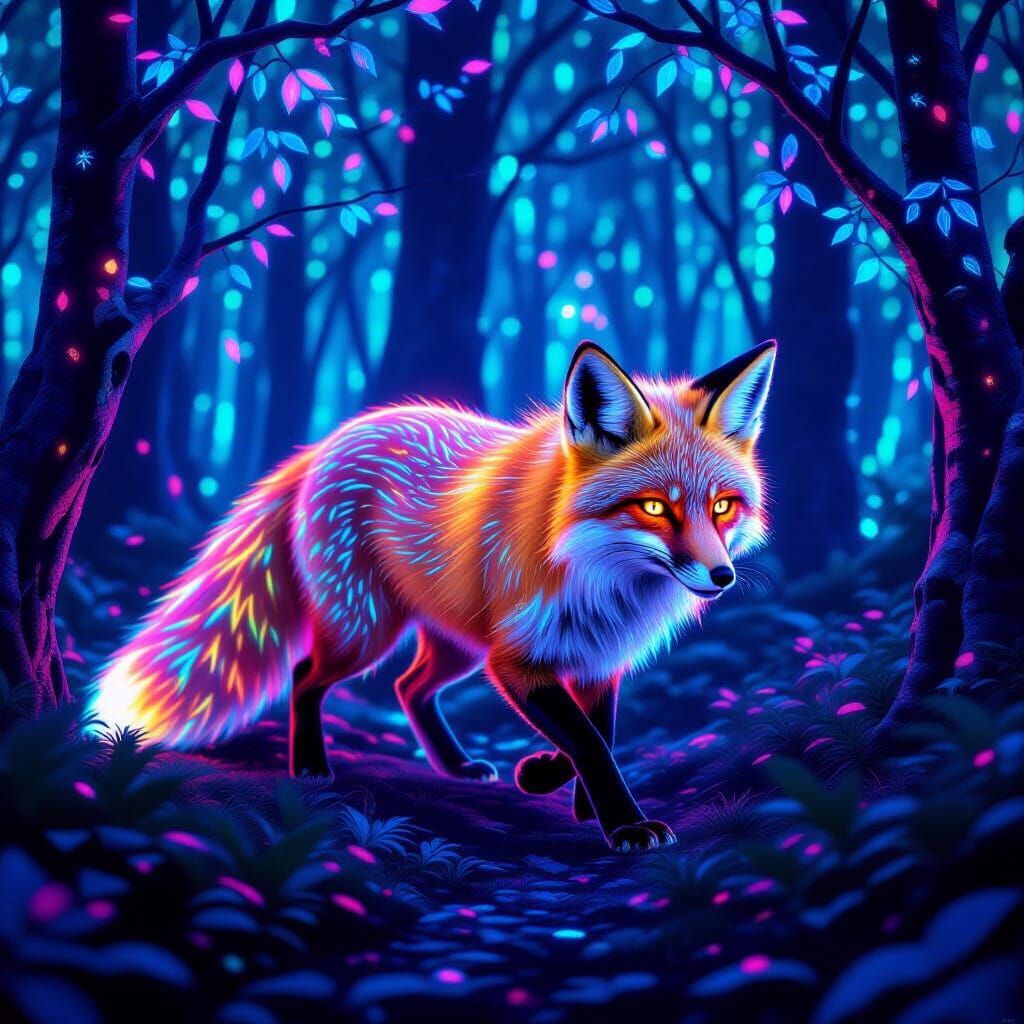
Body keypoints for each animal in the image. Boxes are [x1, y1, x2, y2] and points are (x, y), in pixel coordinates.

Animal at [92, 339, 775, 852]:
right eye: (655, 508)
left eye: (723, 506)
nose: (722, 577)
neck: (605, 582)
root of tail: (329, 442)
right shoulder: (515, 660)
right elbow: (587, 740)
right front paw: (622, 822)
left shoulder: (599, 658)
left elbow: (599, 733)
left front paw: (564, 790)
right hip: (367, 631)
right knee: (307, 673)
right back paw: (309, 767)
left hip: (454, 644)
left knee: (409, 686)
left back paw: (454, 766)